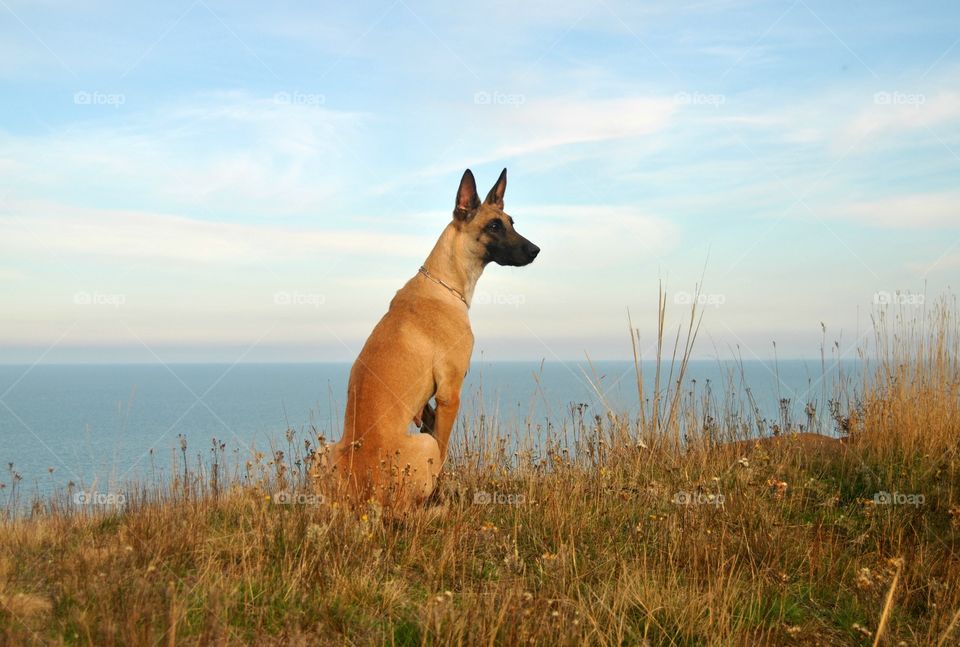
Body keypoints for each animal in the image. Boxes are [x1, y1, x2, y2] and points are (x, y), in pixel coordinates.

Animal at [326, 168, 540, 512]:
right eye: (494, 226)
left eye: (511, 221)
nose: (535, 251)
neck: (443, 283)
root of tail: (364, 498)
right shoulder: (450, 395)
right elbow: (442, 453)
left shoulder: (430, 405)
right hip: (420, 446)